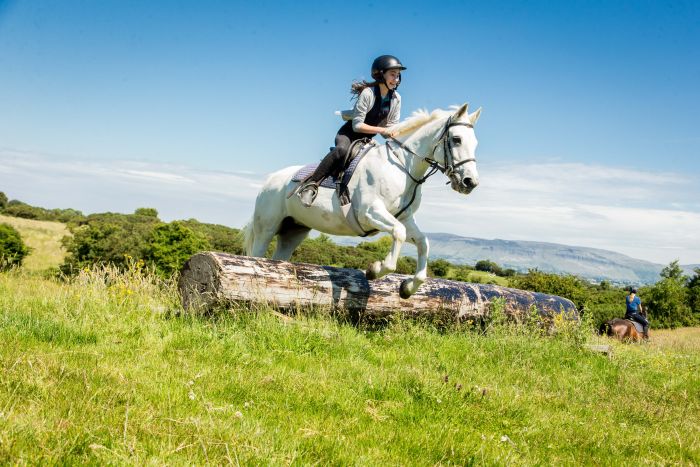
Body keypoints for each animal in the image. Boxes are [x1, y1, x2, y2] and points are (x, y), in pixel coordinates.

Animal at [242, 104, 482, 298]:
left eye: (475, 143)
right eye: (457, 139)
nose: (470, 182)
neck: (402, 166)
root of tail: (269, 180)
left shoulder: (405, 218)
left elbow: (423, 242)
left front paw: (407, 288)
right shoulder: (369, 212)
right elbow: (398, 234)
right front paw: (375, 269)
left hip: (293, 231)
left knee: (278, 259)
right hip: (267, 228)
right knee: (257, 256)